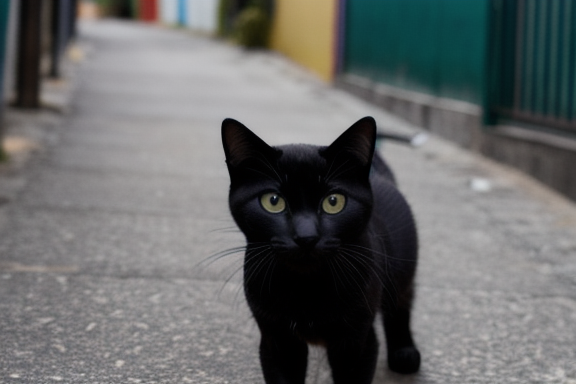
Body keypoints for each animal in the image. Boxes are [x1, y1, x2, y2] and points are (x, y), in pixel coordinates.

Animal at [220, 117, 418, 384]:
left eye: (333, 202)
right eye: (273, 201)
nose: (306, 237)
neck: (306, 289)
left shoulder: (359, 343)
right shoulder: (276, 341)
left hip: (402, 271)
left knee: (401, 304)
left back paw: (404, 353)